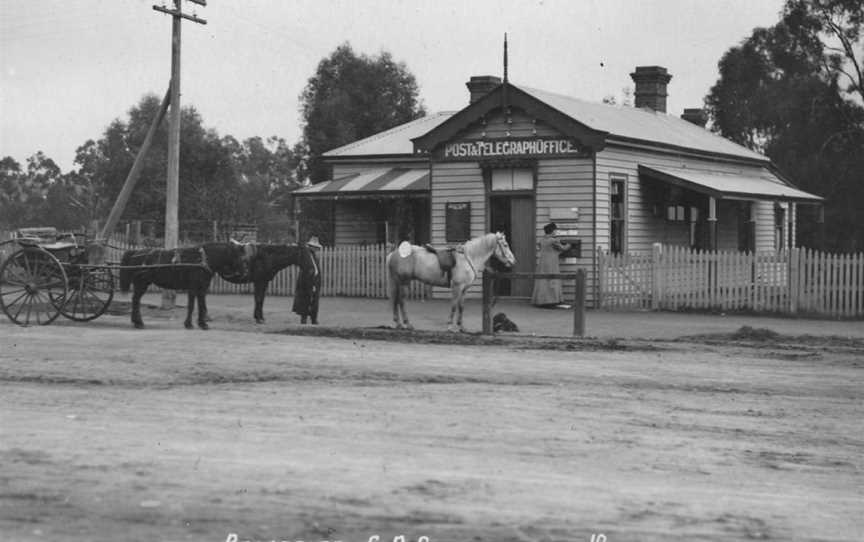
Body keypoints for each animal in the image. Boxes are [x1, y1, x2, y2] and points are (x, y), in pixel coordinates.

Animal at [118, 243, 248, 330]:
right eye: (239, 257)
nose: (244, 273)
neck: (203, 259)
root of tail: (134, 253)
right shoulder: (193, 288)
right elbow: (191, 306)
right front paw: (189, 324)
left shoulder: (202, 289)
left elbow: (202, 306)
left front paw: (203, 324)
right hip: (141, 283)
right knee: (136, 300)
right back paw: (139, 323)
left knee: (135, 300)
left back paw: (136, 321)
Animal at [388, 231, 516, 332]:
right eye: (505, 245)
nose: (513, 261)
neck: (468, 258)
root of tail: (394, 254)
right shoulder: (457, 287)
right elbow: (454, 305)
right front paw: (450, 326)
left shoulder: (464, 289)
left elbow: (461, 306)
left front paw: (461, 327)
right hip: (404, 282)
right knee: (401, 301)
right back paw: (407, 324)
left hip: (397, 282)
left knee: (396, 301)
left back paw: (399, 324)